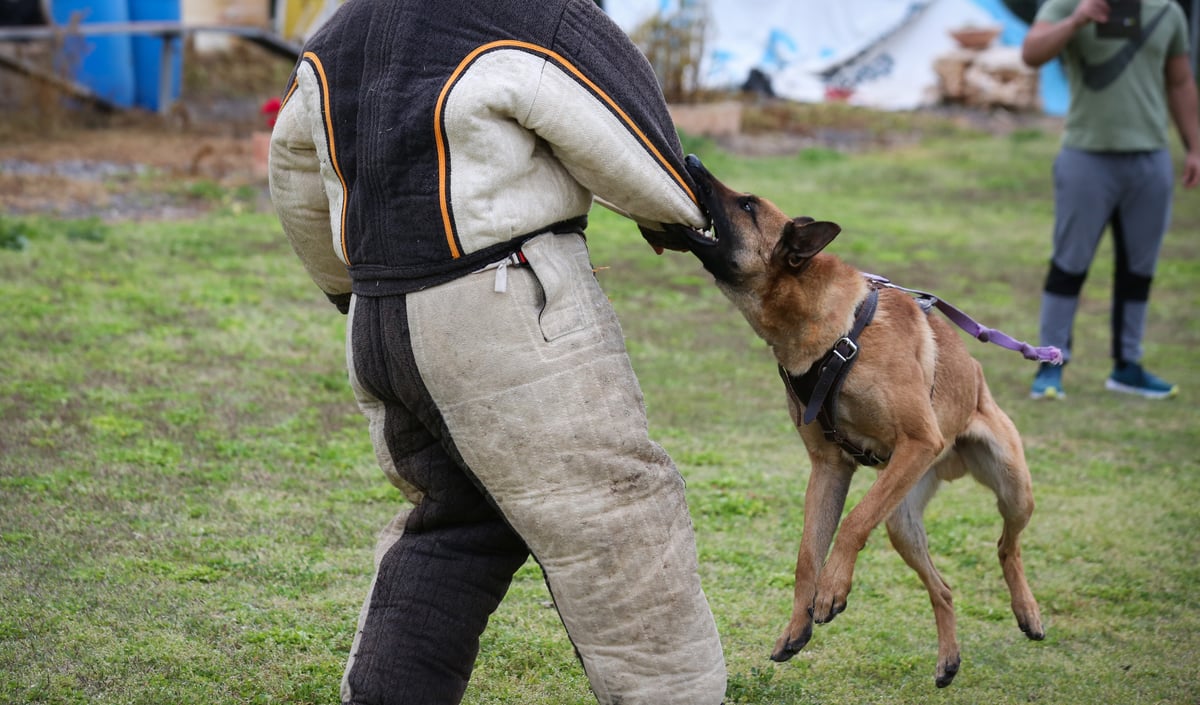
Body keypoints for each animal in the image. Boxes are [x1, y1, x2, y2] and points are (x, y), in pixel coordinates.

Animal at [681, 155, 1046, 690]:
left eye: (747, 205)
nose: (691, 160)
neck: (832, 334)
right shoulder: (829, 467)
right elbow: (806, 555)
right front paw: (797, 625)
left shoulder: (918, 442)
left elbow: (852, 524)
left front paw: (832, 589)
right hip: (901, 520)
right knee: (945, 587)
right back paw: (948, 658)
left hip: (1011, 485)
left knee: (1007, 546)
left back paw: (1027, 612)